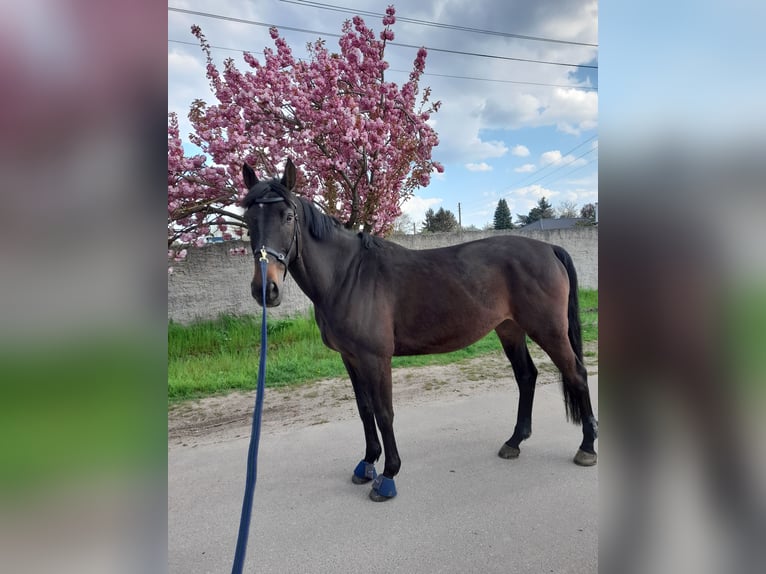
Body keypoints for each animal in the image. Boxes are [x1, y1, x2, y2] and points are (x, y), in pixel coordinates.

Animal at [240, 159, 600, 504]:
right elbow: (364, 409)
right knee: (527, 376)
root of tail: (549, 249)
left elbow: (384, 413)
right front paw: (367, 464)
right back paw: (514, 442)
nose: (265, 289)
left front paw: (388, 476)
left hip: (549, 330)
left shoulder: (375, 359)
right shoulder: (350, 358)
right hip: (509, 329)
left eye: (288, 216)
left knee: (577, 374)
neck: (348, 276)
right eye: (247, 219)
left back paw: (587, 448)